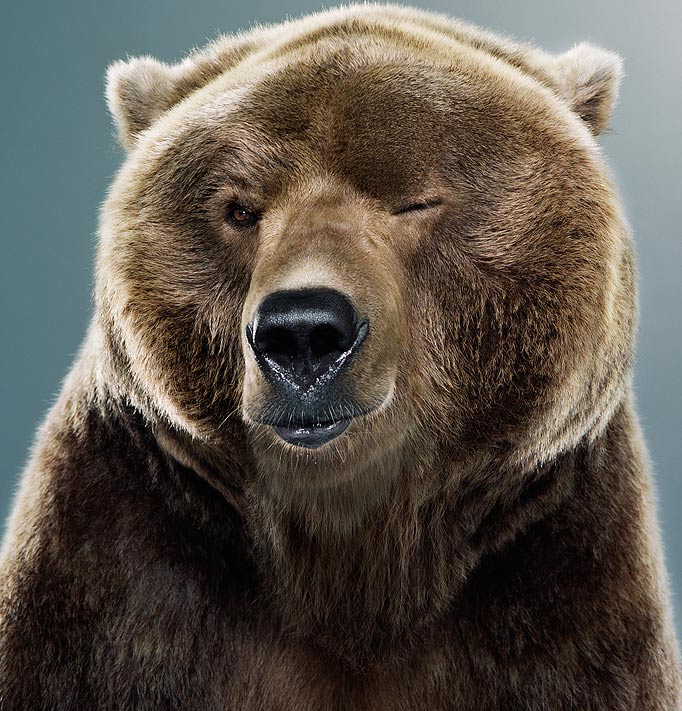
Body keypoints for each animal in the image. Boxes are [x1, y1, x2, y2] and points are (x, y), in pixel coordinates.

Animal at [1, 3, 680, 709]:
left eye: (417, 200)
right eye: (240, 208)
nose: (303, 334)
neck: (354, 556)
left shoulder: (560, 595)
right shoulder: (121, 577)